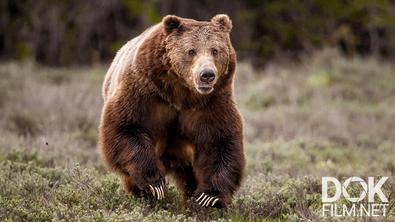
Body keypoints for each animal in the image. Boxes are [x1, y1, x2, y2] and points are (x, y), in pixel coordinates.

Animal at [99, 13, 246, 208]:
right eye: (191, 51)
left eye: (215, 50)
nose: (207, 75)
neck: (180, 93)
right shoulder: (144, 92)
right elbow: (127, 126)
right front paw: (154, 184)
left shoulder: (211, 103)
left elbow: (220, 141)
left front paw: (209, 197)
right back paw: (144, 196)